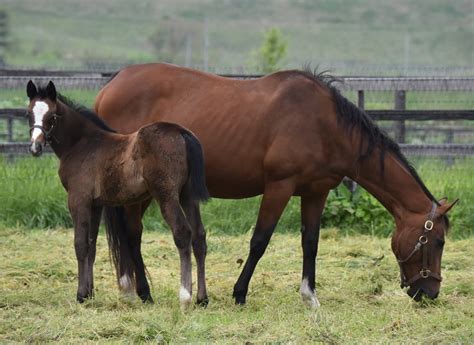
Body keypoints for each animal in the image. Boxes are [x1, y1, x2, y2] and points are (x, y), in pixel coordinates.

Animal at [25, 80, 209, 306]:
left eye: (52, 116)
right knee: (199, 237)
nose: (35, 147)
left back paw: (185, 296)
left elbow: (80, 244)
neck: (82, 144)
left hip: (166, 195)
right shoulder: (95, 204)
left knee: (182, 233)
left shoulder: (78, 199)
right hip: (187, 196)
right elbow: (91, 245)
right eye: (28, 114)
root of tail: (181, 132)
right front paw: (89, 293)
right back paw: (202, 298)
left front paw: (80, 295)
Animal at [94, 63, 458, 306]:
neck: (325, 125)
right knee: (131, 233)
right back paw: (142, 293)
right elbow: (260, 240)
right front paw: (240, 294)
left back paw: (133, 289)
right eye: (437, 241)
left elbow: (310, 242)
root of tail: (108, 88)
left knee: (130, 233)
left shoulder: (316, 192)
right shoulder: (279, 187)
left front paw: (309, 296)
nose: (430, 293)